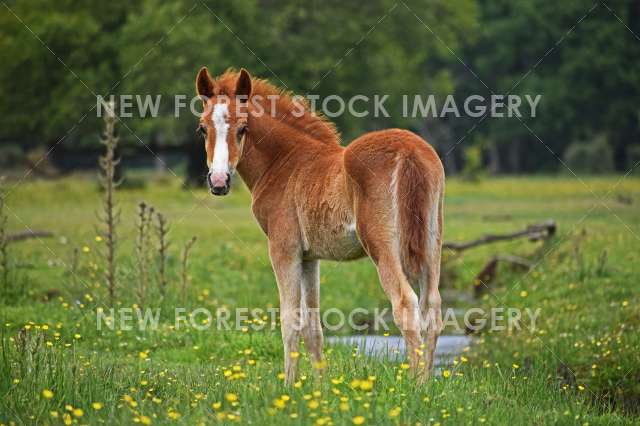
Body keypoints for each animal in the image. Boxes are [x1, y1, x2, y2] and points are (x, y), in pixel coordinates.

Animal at [195, 68, 444, 384]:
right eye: (203, 129)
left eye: (242, 128)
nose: (218, 182)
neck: (284, 163)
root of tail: (409, 151)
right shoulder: (309, 258)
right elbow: (313, 326)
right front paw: (320, 387)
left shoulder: (283, 250)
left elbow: (290, 320)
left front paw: (289, 386)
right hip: (431, 243)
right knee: (432, 307)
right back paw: (427, 384)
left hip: (381, 245)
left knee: (405, 303)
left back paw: (413, 385)